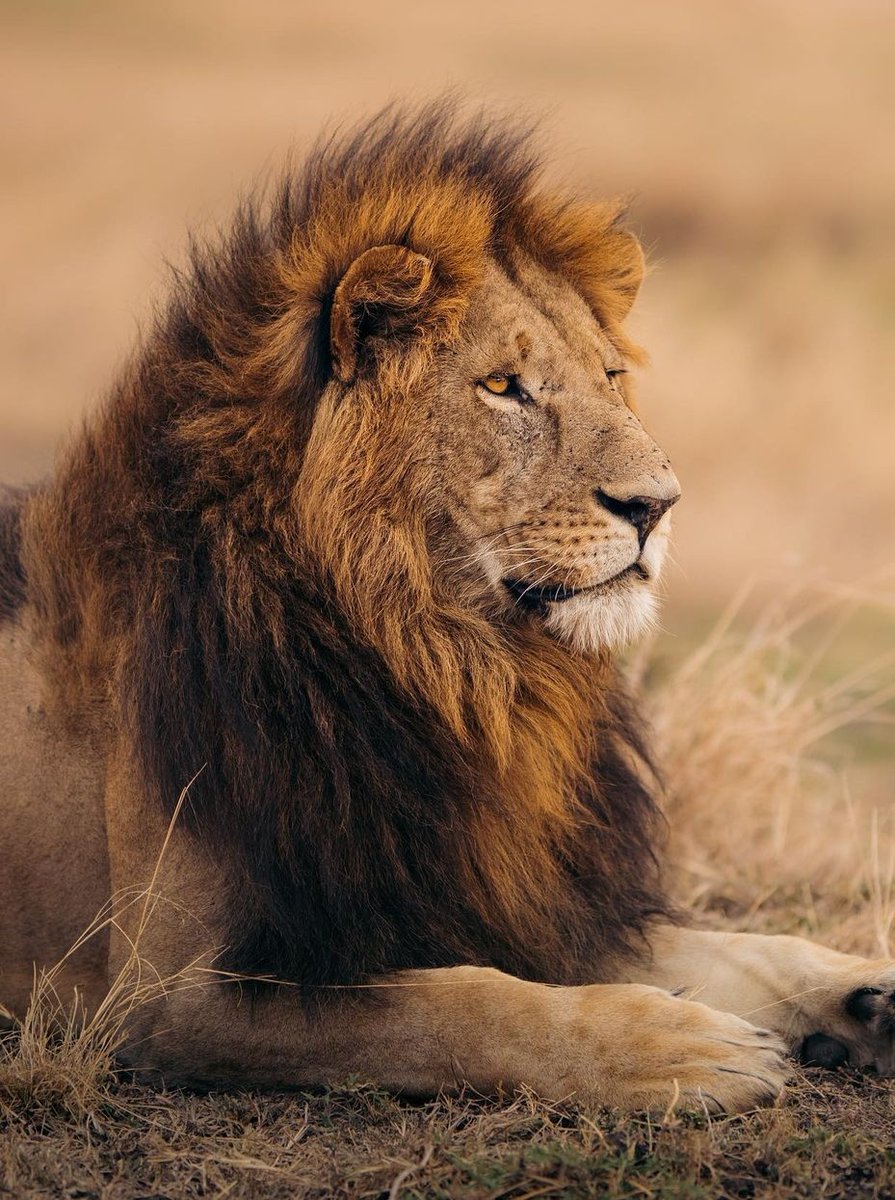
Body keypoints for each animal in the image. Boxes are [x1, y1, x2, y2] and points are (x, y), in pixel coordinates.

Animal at [1, 105, 892, 1113]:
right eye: (503, 387)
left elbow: (725, 946)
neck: (450, 668)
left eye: (609, 377)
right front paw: (674, 1045)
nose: (657, 505)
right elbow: (462, 1007)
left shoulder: (501, 886)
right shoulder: (169, 994)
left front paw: (857, 994)